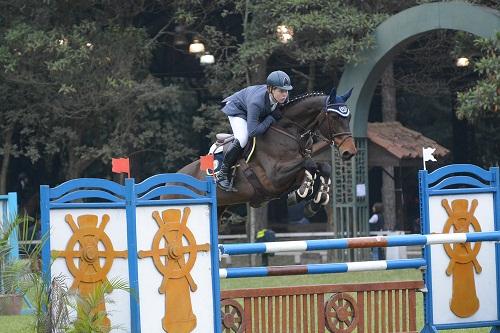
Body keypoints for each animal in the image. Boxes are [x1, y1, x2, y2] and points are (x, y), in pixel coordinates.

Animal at [178, 86, 358, 210]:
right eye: (334, 117)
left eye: (349, 117)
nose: (350, 152)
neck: (290, 132)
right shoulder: (274, 178)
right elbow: (310, 165)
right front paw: (302, 192)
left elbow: (322, 166)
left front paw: (316, 200)